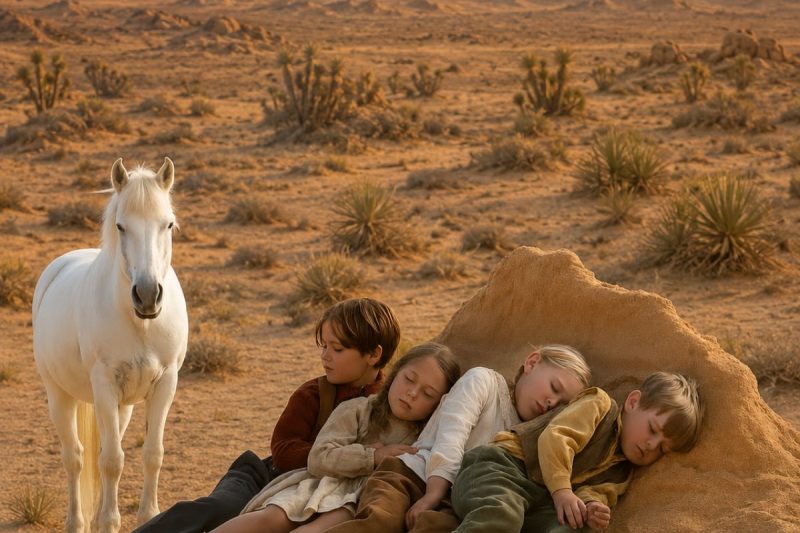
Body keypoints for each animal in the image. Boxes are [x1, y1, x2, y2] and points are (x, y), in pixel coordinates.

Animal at [32, 157, 188, 533]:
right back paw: (77, 522)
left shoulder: (166, 382)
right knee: (74, 457)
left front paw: (149, 516)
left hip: (123, 406)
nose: (147, 295)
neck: (140, 324)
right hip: (60, 395)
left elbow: (151, 454)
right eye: (120, 226)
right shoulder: (103, 384)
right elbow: (112, 461)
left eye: (168, 224)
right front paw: (109, 522)